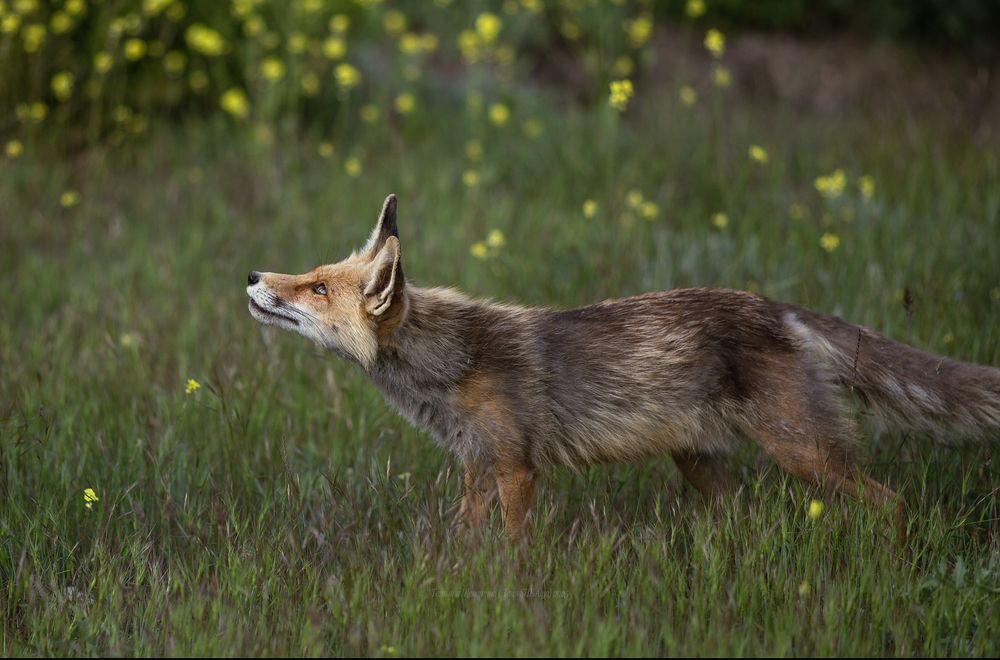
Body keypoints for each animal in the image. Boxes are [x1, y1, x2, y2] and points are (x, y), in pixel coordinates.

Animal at [247, 194, 1000, 543]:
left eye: (318, 289)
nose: (254, 275)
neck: (450, 365)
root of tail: (774, 306)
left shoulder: (516, 468)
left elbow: (513, 552)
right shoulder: (476, 466)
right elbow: (464, 545)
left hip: (803, 452)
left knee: (892, 503)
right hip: (701, 463)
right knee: (742, 520)